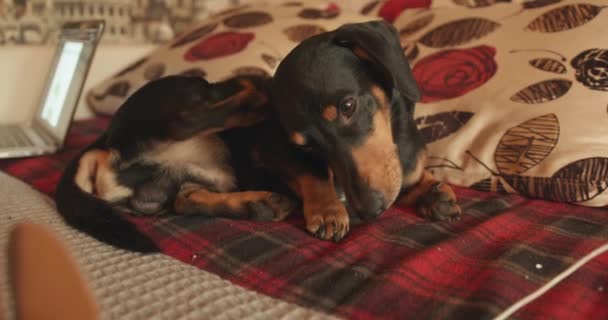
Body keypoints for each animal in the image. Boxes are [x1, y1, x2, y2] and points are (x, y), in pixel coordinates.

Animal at [55, 21, 460, 254]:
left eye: (348, 106)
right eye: (305, 145)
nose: (369, 210)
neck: (396, 138)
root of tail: (105, 139)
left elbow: (415, 179)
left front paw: (434, 192)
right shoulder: (276, 150)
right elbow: (313, 174)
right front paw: (328, 210)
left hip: (193, 180)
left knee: (185, 198)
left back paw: (257, 204)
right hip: (188, 92)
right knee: (188, 119)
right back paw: (254, 95)